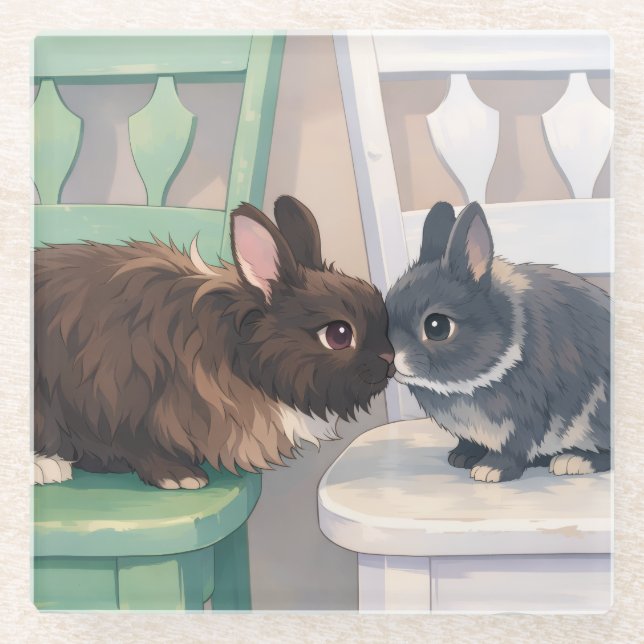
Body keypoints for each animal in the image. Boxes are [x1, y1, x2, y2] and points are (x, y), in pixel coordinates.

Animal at [34, 195, 395, 489]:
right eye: (338, 335)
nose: (390, 359)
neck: (235, 353)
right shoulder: (120, 400)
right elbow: (138, 445)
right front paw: (180, 476)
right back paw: (46, 467)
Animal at [385, 201, 610, 483]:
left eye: (437, 327)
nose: (388, 358)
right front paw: (462, 457)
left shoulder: (528, 413)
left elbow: (517, 444)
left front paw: (491, 469)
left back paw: (573, 460)